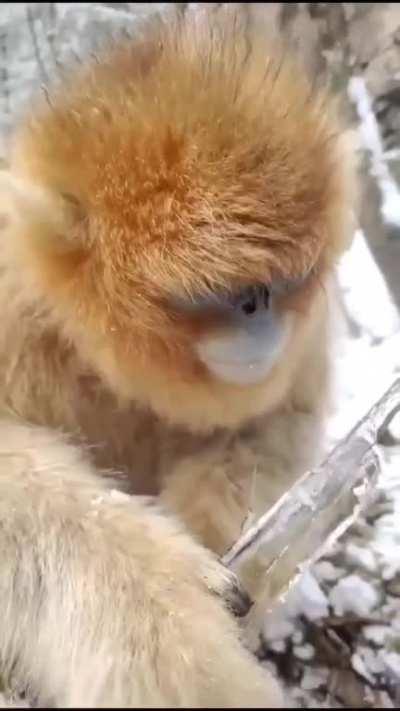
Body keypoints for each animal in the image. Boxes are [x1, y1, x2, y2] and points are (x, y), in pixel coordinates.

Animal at [0, 4, 356, 707]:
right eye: (222, 296)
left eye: (286, 283)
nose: (259, 309)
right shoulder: (12, 308)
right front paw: (150, 604)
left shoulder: (307, 339)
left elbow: (273, 430)